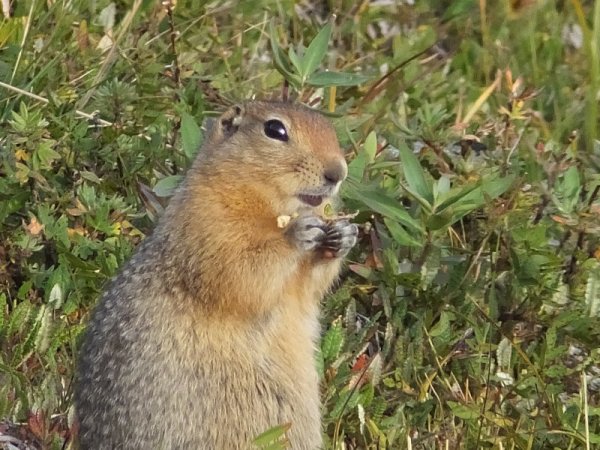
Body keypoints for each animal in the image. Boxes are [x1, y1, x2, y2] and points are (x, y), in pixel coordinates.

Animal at [73, 100, 358, 448]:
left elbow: (308, 289)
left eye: (330, 128)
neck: (270, 208)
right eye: (275, 130)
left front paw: (344, 235)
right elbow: (241, 270)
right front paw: (297, 233)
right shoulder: (208, 222)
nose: (338, 172)